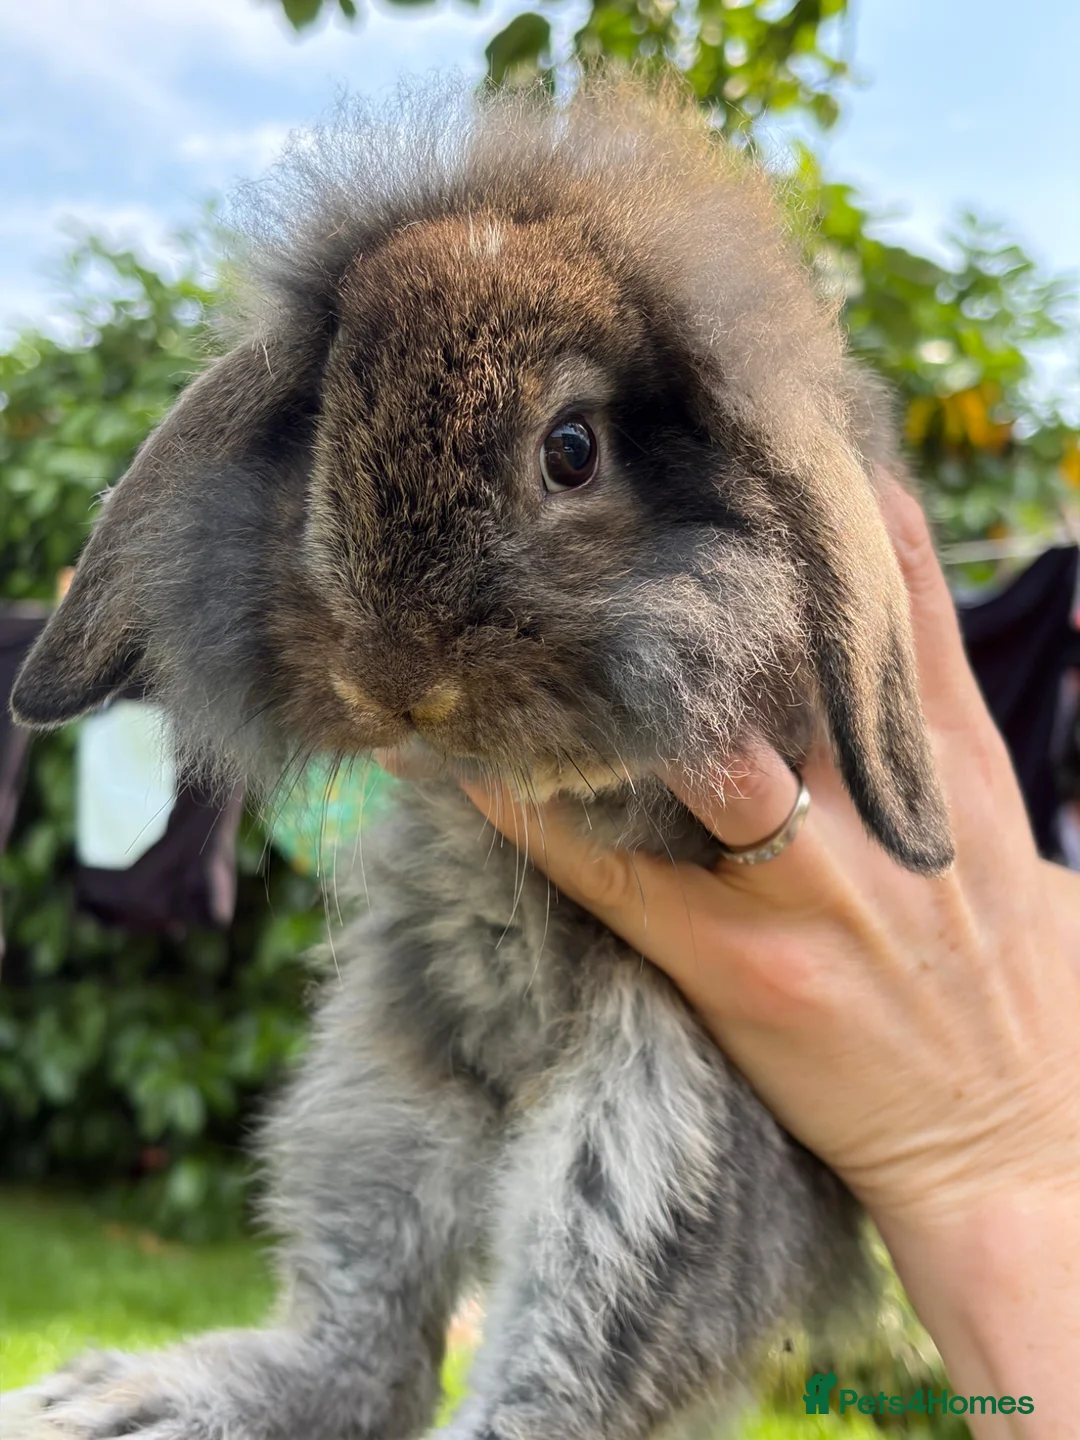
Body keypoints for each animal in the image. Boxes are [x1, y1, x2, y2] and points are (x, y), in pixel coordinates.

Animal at [7, 76, 952, 1440]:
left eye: (573, 449)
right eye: (327, 420)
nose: (395, 683)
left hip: (649, 1151)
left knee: (550, 1374)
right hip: (375, 1100)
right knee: (371, 1349)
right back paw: (130, 1396)